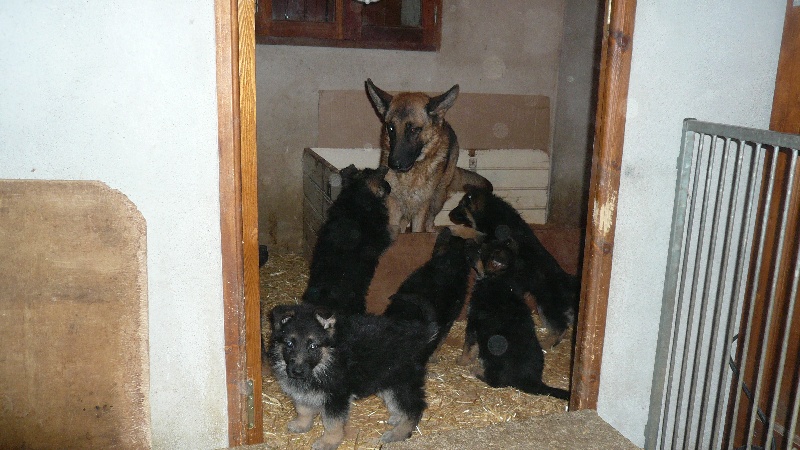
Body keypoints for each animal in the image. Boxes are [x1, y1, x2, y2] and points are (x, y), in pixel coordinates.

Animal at [266, 302, 434, 450]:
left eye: (313, 346)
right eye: (289, 344)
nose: (297, 372)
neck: (327, 359)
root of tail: (419, 335)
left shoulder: (336, 397)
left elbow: (332, 424)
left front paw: (328, 442)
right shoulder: (303, 391)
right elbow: (303, 409)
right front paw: (302, 425)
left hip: (401, 383)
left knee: (414, 408)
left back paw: (399, 433)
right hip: (387, 380)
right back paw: (397, 418)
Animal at [366, 78, 490, 237]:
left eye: (414, 129)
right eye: (391, 128)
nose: (394, 164)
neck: (411, 175)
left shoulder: (421, 207)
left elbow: (418, 230)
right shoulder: (394, 204)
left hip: (437, 198)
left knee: (430, 222)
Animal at [446, 185, 580, 344]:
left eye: (461, 205)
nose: (449, 214)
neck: (492, 213)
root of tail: (567, 281)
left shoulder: (490, 239)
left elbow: (474, 232)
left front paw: (457, 230)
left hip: (547, 306)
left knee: (560, 328)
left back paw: (547, 343)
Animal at [460, 232, 572, 400]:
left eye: (480, 250)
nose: (466, 242)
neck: (501, 281)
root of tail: (533, 381)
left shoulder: (473, 322)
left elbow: (468, 346)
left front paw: (461, 361)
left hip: (494, 358)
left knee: (496, 381)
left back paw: (477, 371)